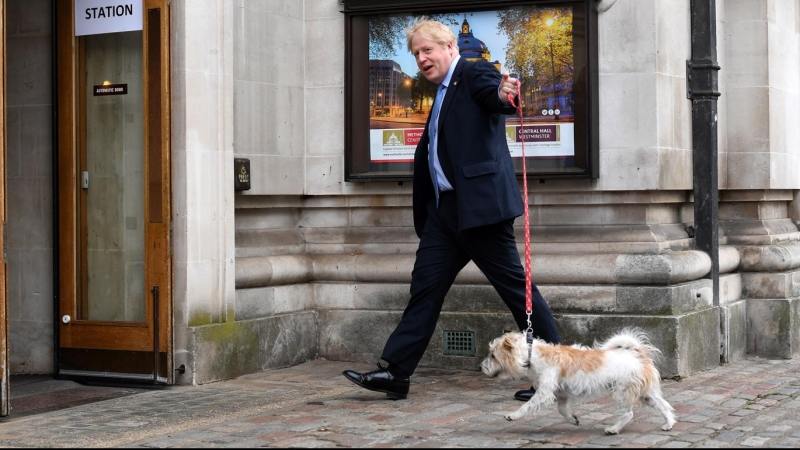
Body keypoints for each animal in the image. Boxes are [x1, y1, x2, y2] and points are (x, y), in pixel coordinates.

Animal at [482, 326, 676, 436]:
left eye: (493, 355)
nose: (481, 367)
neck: (533, 354)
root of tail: (639, 356)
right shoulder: (561, 394)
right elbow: (562, 410)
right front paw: (573, 419)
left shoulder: (544, 392)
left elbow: (527, 406)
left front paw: (513, 415)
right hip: (647, 394)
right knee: (664, 406)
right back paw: (669, 424)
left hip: (623, 392)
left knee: (628, 414)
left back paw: (613, 429)